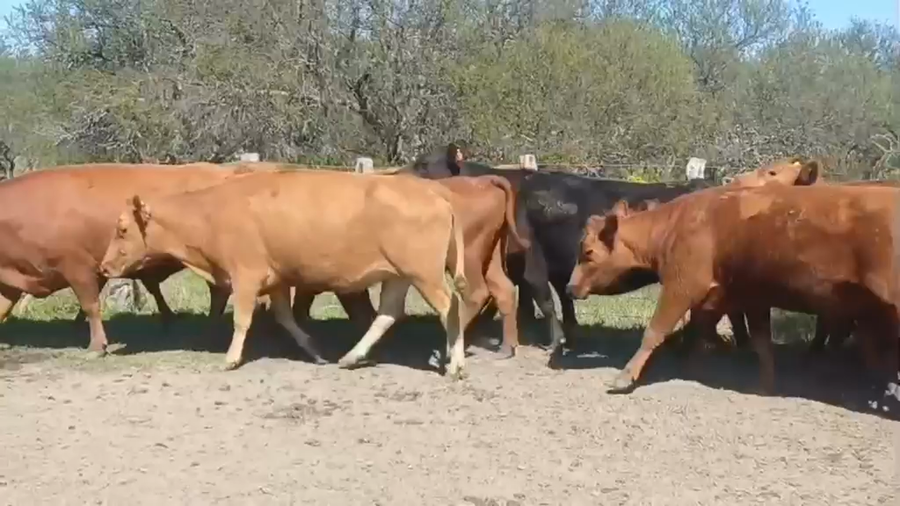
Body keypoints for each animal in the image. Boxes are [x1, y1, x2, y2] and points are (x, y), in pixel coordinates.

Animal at [99, 169, 470, 377]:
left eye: (122, 229)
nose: (104, 266)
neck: (210, 213)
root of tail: (434, 191)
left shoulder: (246, 277)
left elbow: (242, 320)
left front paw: (231, 359)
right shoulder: (275, 280)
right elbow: (286, 318)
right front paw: (315, 352)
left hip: (424, 275)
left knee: (450, 307)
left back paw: (455, 364)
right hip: (398, 276)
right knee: (388, 314)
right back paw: (350, 357)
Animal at [291, 175, 531, 358]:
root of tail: (483, 180)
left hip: (466, 259)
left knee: (474, 295)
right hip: (489, 261)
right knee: (504, 290)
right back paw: (507, 347)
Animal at [566, 183, 900, 394]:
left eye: (588, 253)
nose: (570, 287)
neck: (676, 225)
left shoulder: (682, 285)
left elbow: (655, 330)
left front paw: (624, 377)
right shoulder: (742, 295)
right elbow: (756, 340)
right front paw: (763, 384)